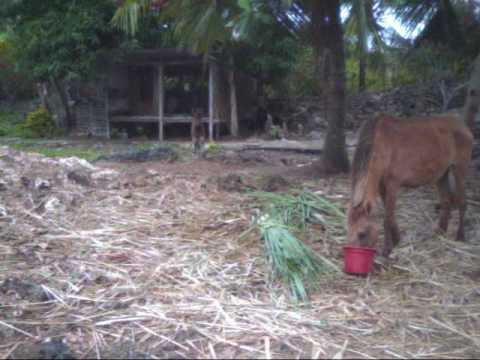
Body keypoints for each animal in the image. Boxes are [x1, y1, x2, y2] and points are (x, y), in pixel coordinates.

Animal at [344, 114, 472, 258]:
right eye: (348, 229)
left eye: (362, 234)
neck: (381, 147)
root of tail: (463, 126)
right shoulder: (382, 186)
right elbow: (390, 215)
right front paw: (396, 239)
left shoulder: (393, 184)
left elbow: (387, 218)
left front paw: (387, 249)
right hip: (442, 175)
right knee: (446, 201)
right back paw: (441, 231)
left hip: (459, 169)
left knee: (462, 202)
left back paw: (460, 235)